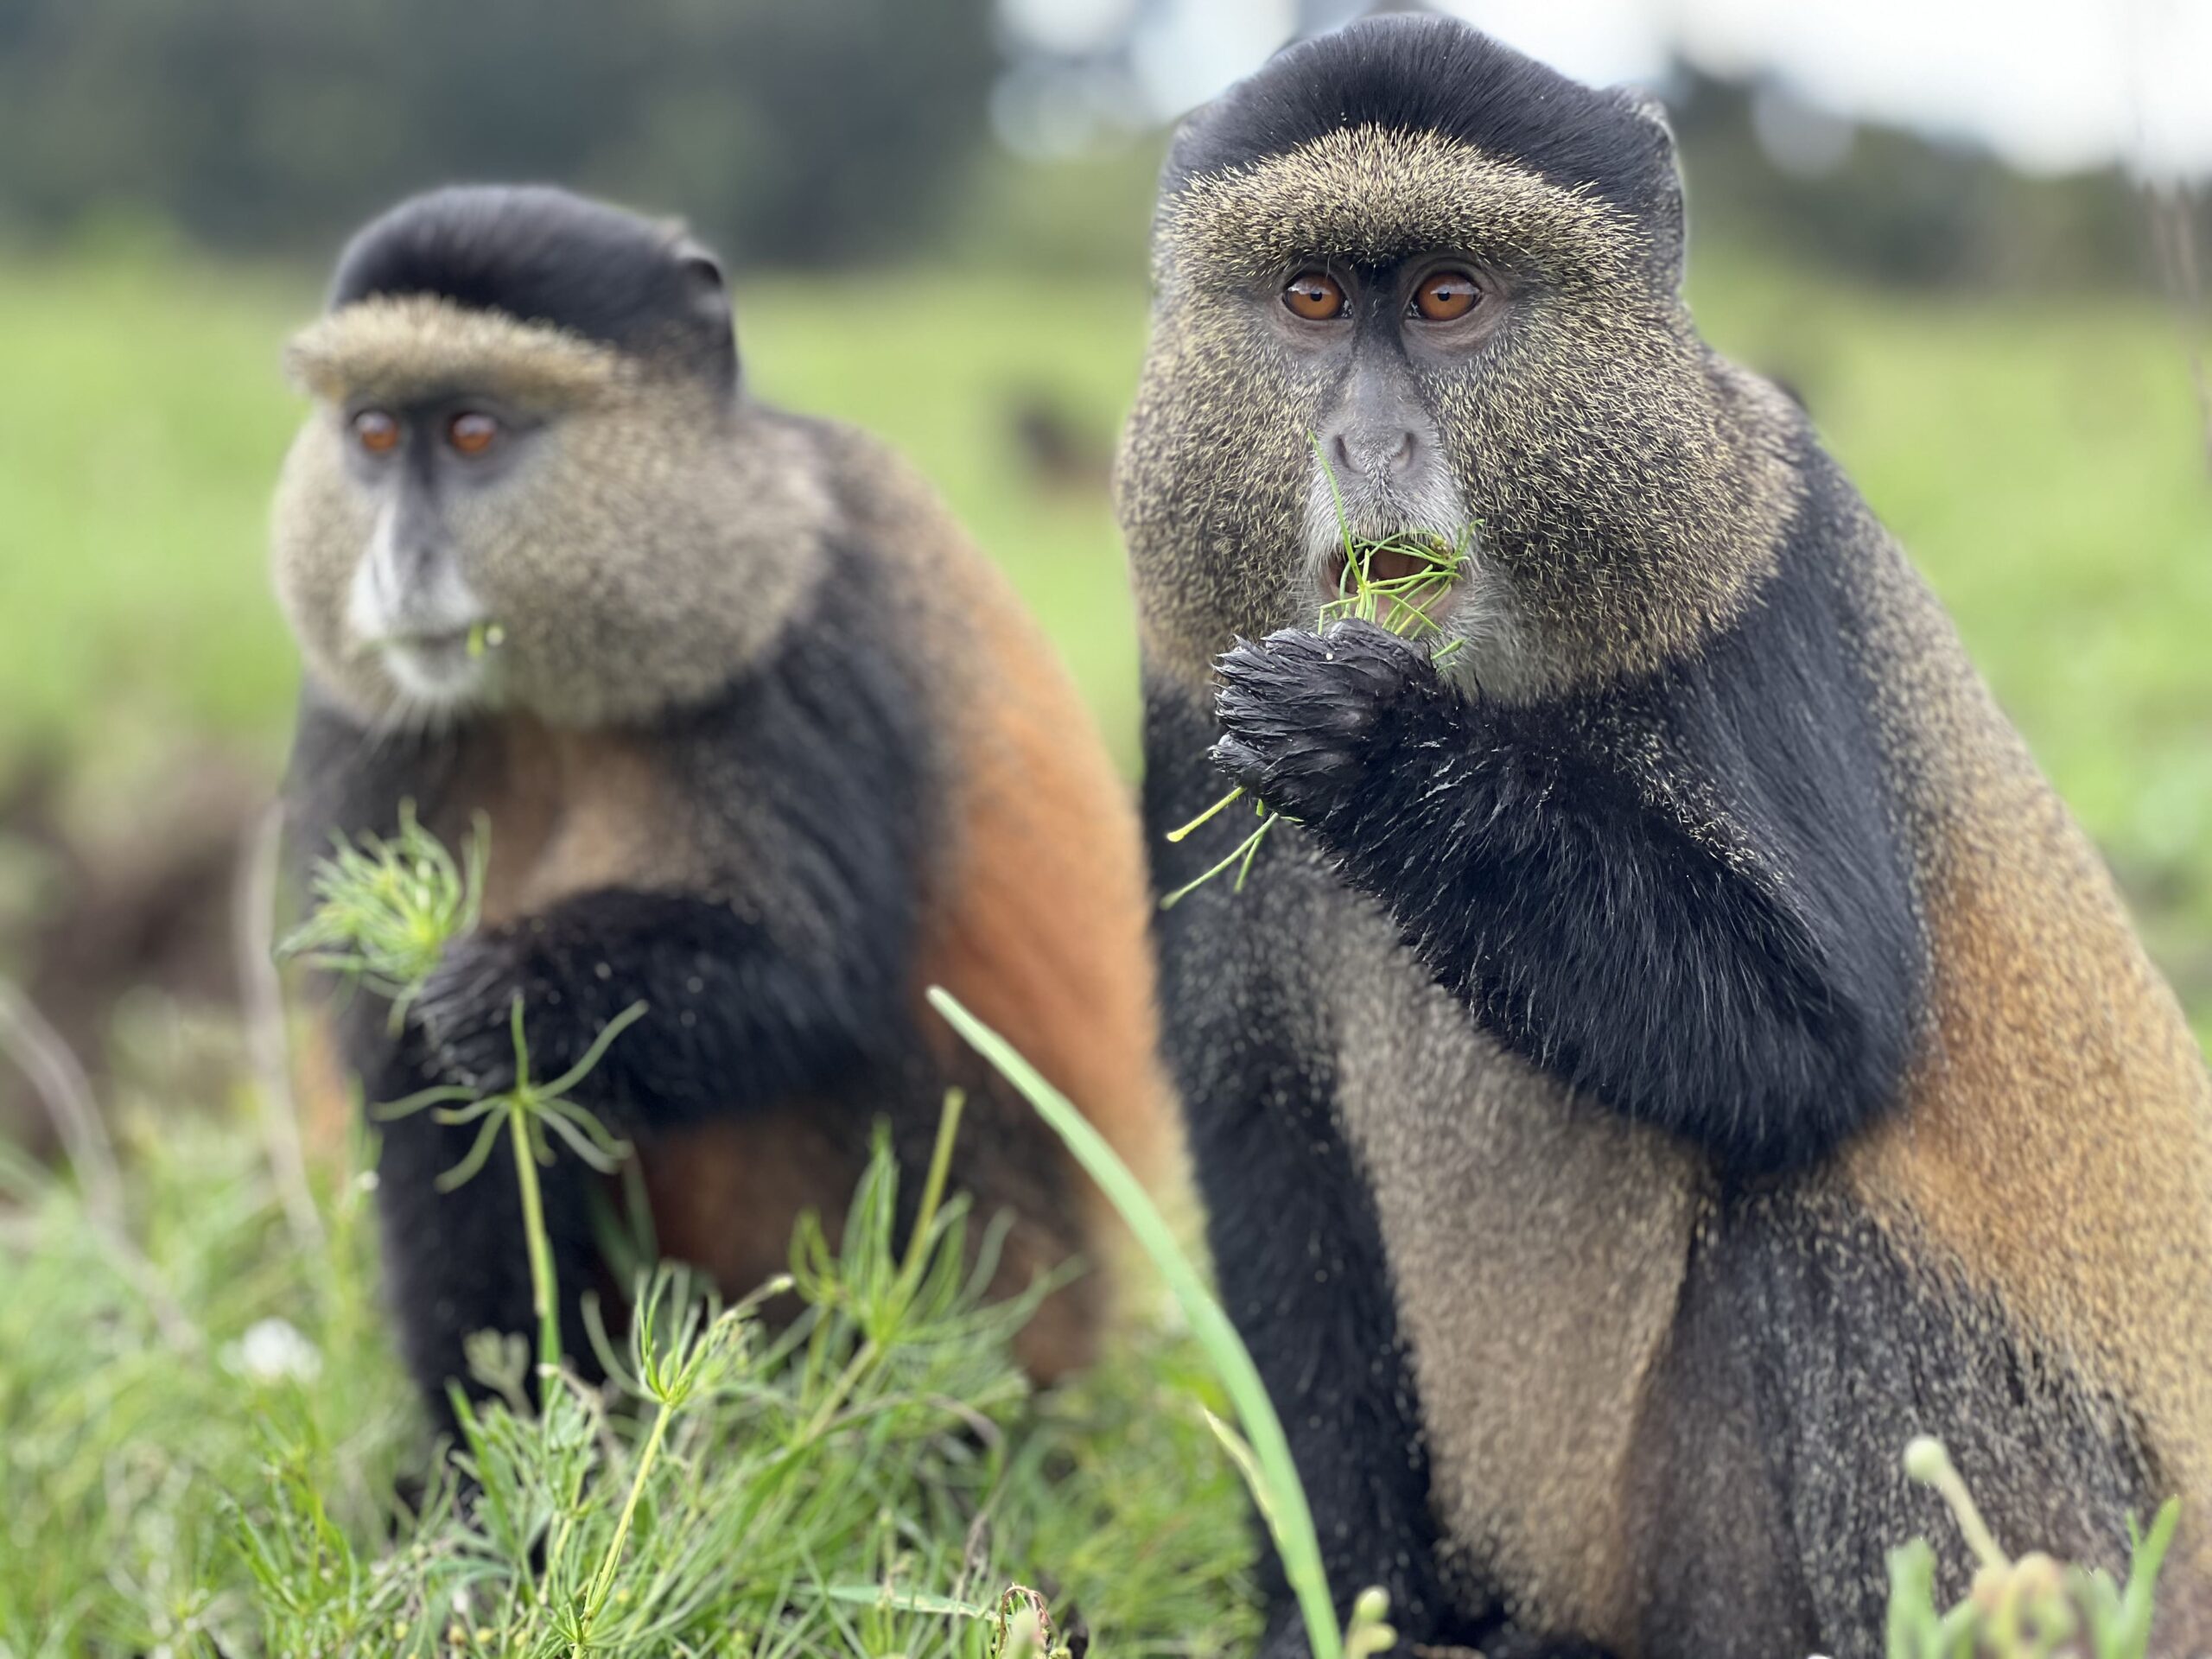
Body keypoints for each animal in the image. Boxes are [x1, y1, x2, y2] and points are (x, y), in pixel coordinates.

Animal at [273, 184, 1172, 1429]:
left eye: (471, 434)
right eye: (370, 435)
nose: (395, 567)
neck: (551, 700)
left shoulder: (805, 637)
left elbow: (804, 974)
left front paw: (507, 993)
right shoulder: (358, 722)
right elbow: (407, 1079)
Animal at [1117, 18, 2212, 1659]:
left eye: (1448, 298)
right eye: (1311, 299)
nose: (1369, 440)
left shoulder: (1754, 587)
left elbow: (1808, 1045)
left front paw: (1377, 747)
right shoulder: (1187, 699)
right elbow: (1269, 1142)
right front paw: (1344, 1615)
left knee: (1816, 1244)